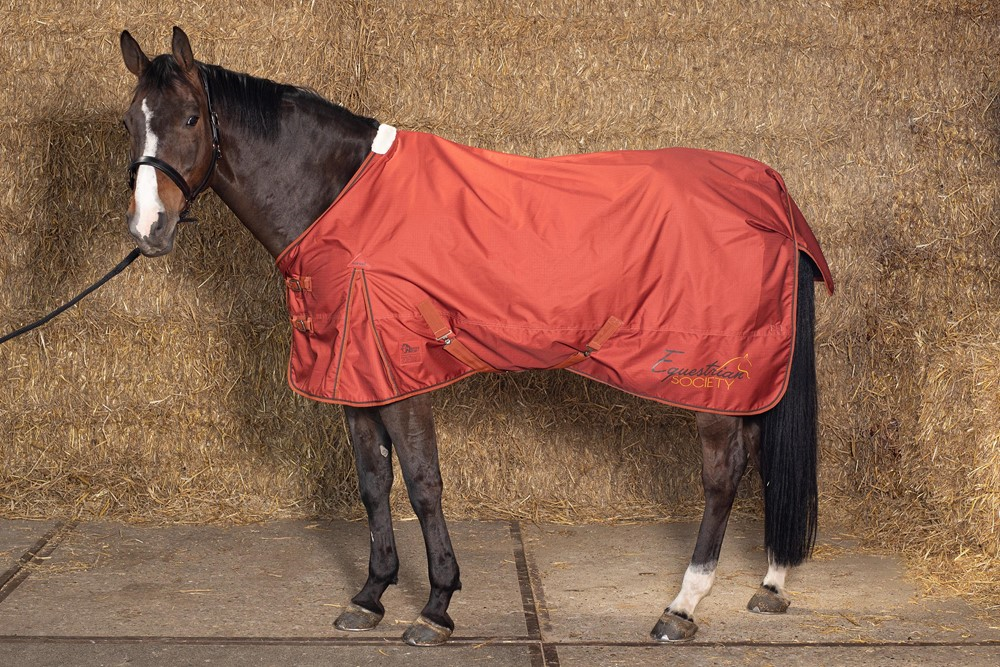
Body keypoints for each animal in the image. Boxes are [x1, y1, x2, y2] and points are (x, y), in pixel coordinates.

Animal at [119, 27, 832, 647]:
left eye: (190, 119)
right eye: (129, 123)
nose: (147, 230)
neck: (344, 200)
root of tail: (768, 192)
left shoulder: (400, 376)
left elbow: (422, 482)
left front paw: (435, 606)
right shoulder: (355, 377)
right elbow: (373, 482)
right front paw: (370, 595)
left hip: (712, 376)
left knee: (724, 474)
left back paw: (681, 607)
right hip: (750, 378)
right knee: (763, 454)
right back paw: (769, 584)